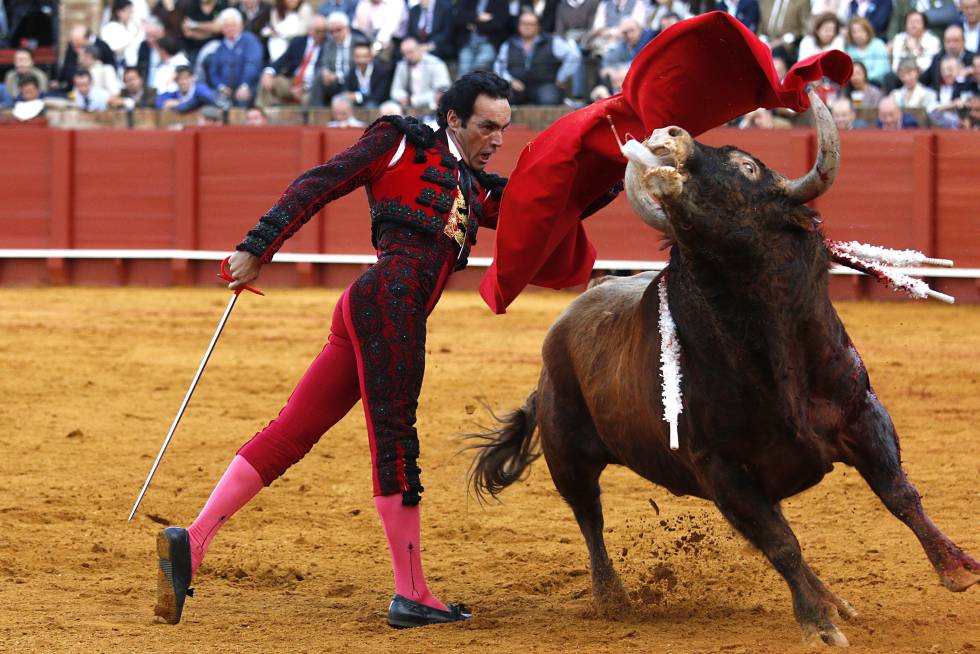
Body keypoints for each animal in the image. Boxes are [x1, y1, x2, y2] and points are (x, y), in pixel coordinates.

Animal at [470, 89, 976, 648]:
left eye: (748, 166)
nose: (668, 134)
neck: (771, 345)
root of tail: (569, 316)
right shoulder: (721, 468)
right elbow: (781, 543)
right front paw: (818, 627)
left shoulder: (862, 413)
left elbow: (898, 493)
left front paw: (956, 568)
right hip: (568, 452)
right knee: (589, 515)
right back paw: (613, 598)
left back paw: (834, 600)